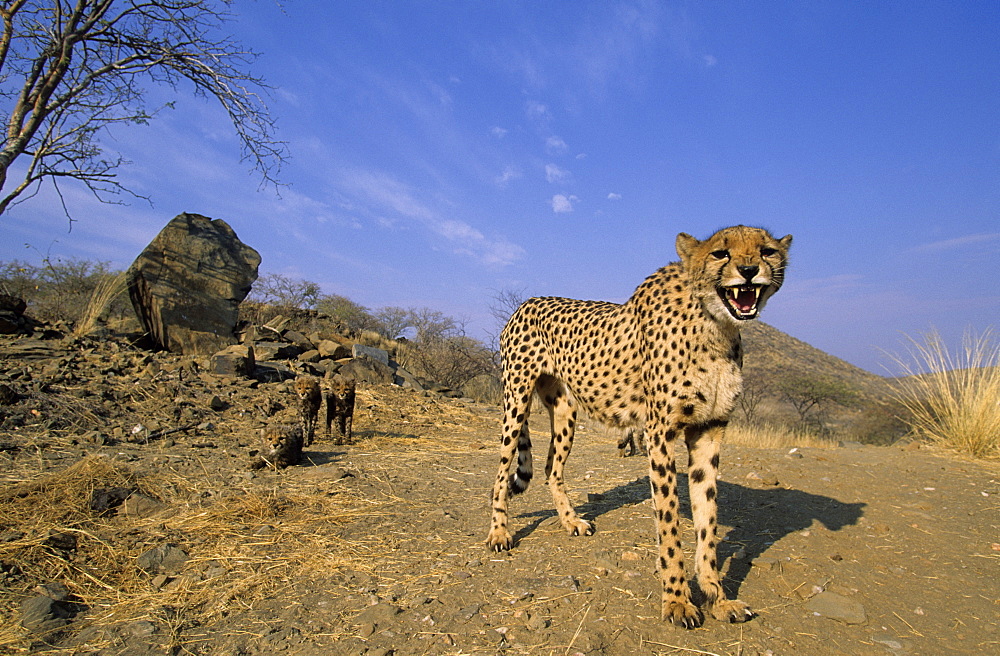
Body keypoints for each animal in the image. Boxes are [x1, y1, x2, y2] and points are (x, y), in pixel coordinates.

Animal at [488, 227, 792, 632]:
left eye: (767, 251)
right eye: (720, 253)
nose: (748, 270)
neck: (716, 326)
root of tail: (528, 301)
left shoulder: (709, 431)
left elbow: (707, 522)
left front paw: (717, 597)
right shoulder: (659, 433)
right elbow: (669, 523)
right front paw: (678, 601)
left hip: (566, 409)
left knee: (553, 468)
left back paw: (570, 521)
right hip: (517, 399)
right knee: (502, 470)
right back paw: (498, 532)